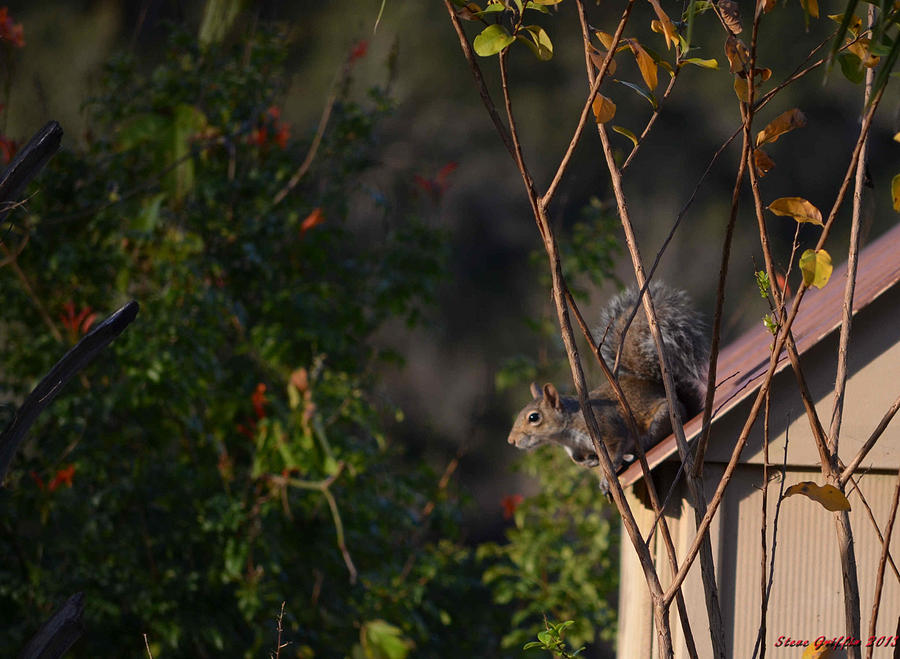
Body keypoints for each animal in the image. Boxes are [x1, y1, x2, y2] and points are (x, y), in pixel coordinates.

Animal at [506, 282, 712, 490]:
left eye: (534, 417)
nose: (511, 440)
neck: (565, 434)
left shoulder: (607, 429)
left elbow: (614, 451)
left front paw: (606, 481)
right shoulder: (574, 449)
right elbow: (577, 460)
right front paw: (590, 462)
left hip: (662, 418)